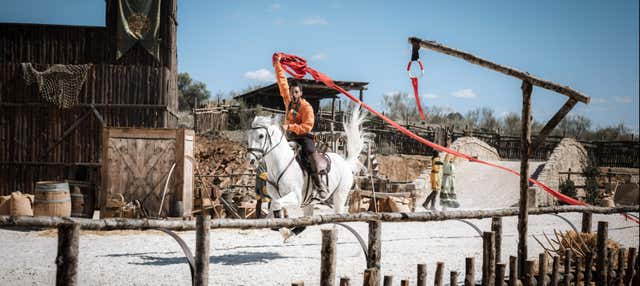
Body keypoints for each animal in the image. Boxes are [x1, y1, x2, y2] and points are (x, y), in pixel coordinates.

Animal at [245, 105, 364, 237]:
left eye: (261, 136)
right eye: (249, 134)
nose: (250, 160)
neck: (279, 164)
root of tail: (345, 162)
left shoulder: (296, 198)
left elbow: (276, 206)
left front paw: (285, 231)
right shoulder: (276, 197)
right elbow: (273, 212)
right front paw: (283, 230)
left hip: (340, 195)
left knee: (338, 218)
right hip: (309, 202)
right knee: (307, 219)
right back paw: (294, 233)